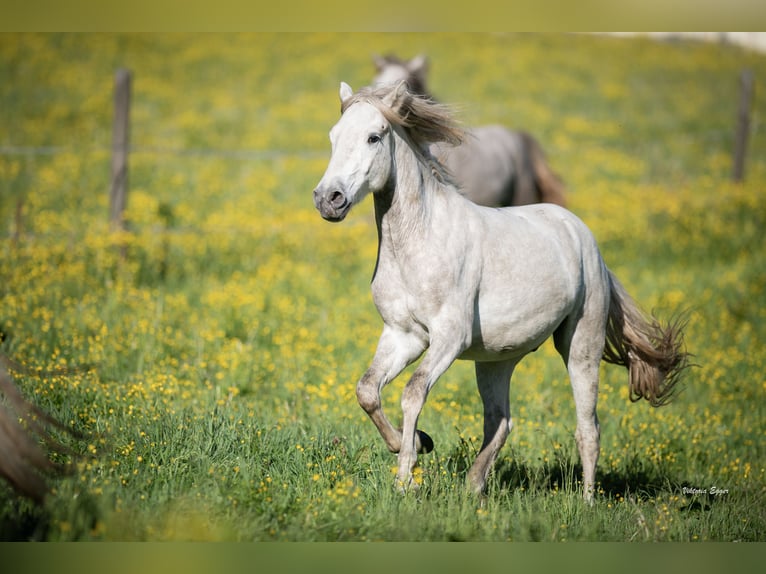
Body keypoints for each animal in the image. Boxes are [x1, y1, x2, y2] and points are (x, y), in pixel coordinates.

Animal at [313, 81, 689, 501]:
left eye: (373, 137)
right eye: (333, 136)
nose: (328, 199)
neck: (420, 241)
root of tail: (584, 236)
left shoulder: (449, 338)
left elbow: (412, 392)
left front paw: (405, 479)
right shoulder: (402, 335)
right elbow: (367, 390)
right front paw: (416, 444)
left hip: (581, 344)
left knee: (587, 428)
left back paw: (587, 502)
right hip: (497, 359)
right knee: (501, 420)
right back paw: (473, 487)